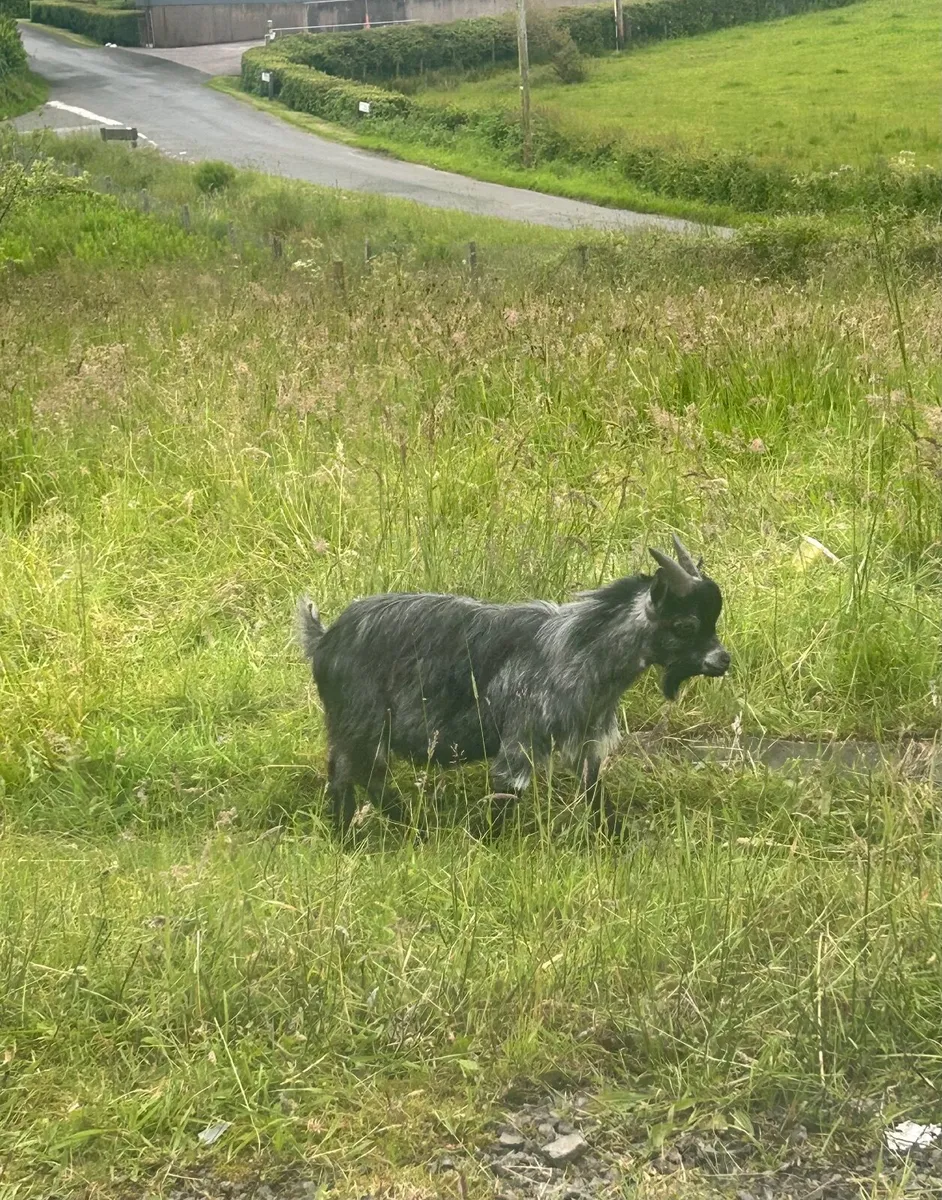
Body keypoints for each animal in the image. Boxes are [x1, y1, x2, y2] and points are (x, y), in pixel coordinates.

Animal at [296, 536, 729, 836]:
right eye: (685, 624)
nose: (722, 660)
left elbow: (595, 793)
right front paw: (485, 842)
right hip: (362, 724)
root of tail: (324, 639)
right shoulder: (523, 738)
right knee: (358, 776)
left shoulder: (586, 741)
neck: (580, 646)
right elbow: (506, 792)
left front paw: (617, 839)